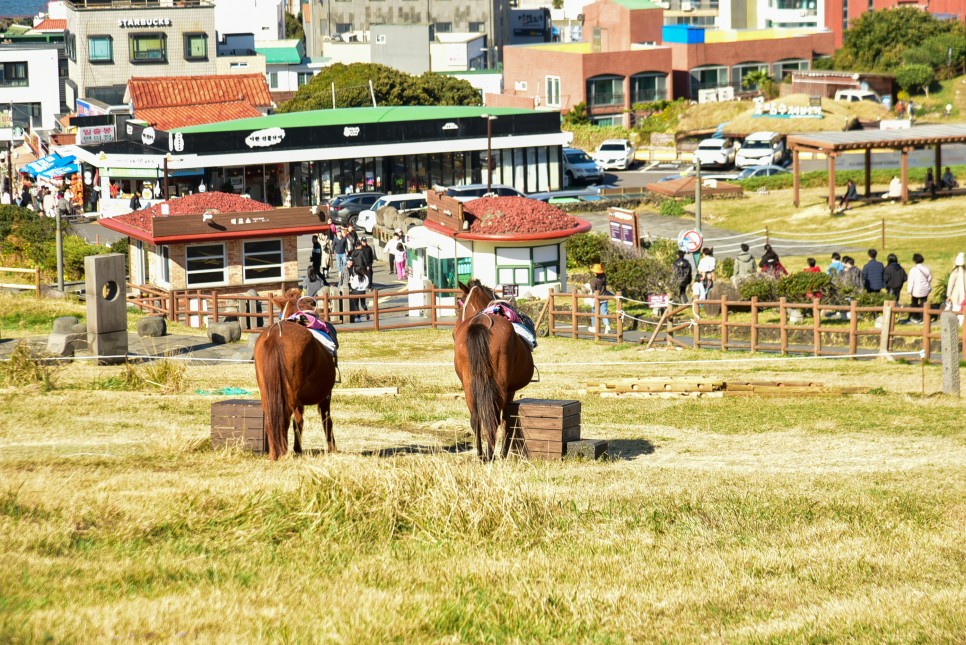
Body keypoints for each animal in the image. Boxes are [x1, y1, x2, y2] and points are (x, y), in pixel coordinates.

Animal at [255, 290, 338, 460]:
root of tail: (275, 335)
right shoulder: (326, 395)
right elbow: (326, 419)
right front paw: (332, 448)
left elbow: (298, 421)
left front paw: (298, 448)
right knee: (285, 418)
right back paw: (282, 453)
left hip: (268, 392)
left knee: (271, 420)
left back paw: (274, 454)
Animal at [454, 280, 536, 460]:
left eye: (458, 304)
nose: (453, 331)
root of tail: (481, 323)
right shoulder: (510, 390)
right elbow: (506, 419)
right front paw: (504, 451)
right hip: (499, 385)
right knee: (494, 418)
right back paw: (491, 453)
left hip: (469, 384)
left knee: (476, 418)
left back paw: (480, 455)